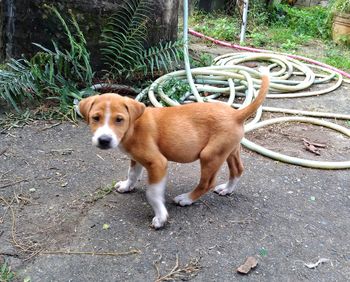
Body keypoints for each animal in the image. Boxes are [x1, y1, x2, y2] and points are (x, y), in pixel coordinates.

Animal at [79, 73, 270, 229]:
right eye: (95, 118)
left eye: (119, 119)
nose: (104, 140)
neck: (133, 126)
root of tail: (236, 114)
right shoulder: (136, 158)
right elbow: (132, 173)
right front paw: (127, 186)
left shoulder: (157, 163)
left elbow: (152, 193)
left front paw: (160, 217)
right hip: (230, 150)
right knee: (237, 170)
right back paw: (227, 189)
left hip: (210, 155)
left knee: (207, 183)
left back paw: (186, 199)